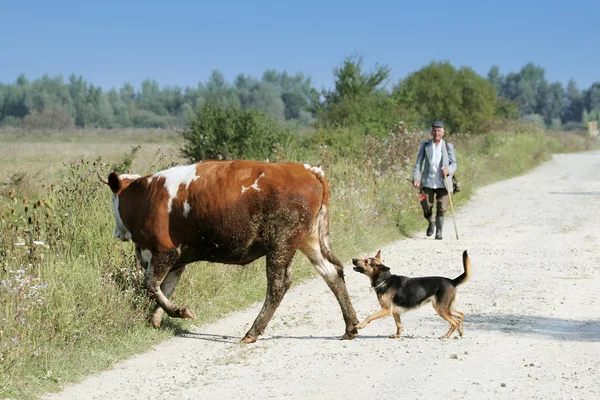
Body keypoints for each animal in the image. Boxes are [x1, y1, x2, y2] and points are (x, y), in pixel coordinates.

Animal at [101, 161, 358, 342]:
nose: (115, 232)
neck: (145, 196)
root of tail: (306, 168)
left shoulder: (164, 252)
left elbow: (151, 286)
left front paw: (178, 311)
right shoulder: (177, 260)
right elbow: (165, 288)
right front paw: (156, 319)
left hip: (281, 242)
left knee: (278, 285)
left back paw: (252, 332)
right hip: (308, 240)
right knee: (332, 274)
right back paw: (350, 325)